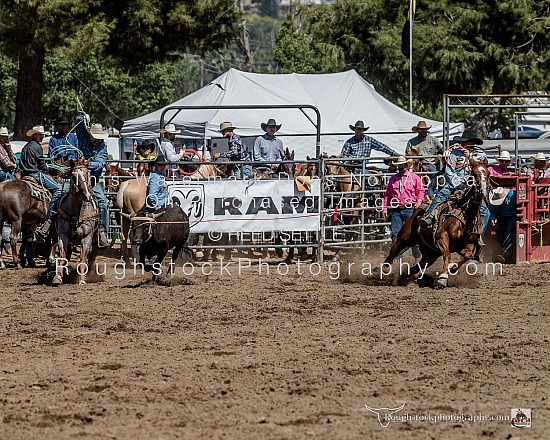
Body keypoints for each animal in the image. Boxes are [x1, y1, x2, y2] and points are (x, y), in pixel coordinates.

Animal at [384, 158, 492, 288]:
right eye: (474, 174)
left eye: (488, 174)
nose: (483, 191)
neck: (467, 215)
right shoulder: (441, 236)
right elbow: (447, 254)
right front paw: (443, 277)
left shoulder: (467, 243)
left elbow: (468, 255)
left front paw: (452, 268)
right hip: (404, 238)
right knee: (392, 253)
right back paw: (385, 271)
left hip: (431, 253)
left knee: (417, 266)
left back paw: (410, 278)